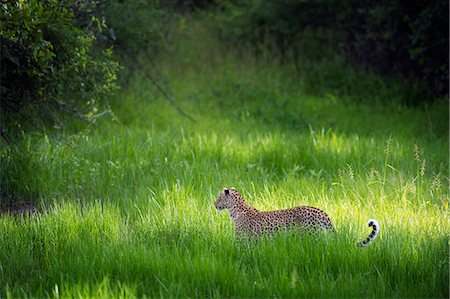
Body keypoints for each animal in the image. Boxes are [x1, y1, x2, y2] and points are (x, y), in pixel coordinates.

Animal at [214, 189, 380, 247]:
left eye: (219, 197)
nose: (214, 204)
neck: (236, 209)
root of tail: (321, 211)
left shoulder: (240, 240)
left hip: (310, 235)